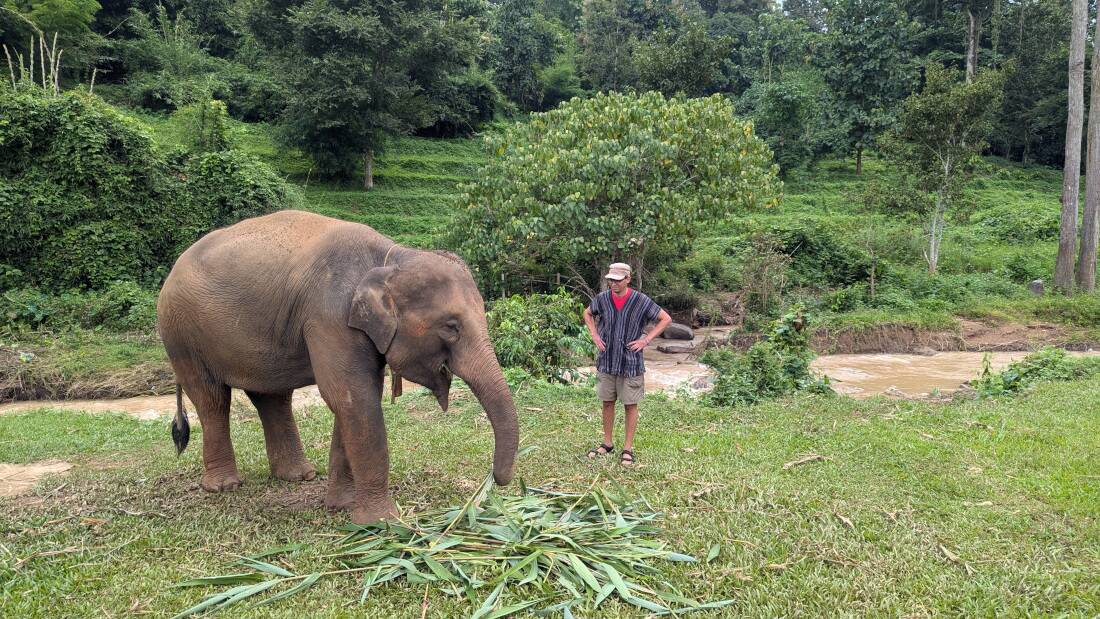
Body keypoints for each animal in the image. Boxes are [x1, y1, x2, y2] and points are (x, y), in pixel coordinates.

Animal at [158, 211, 519, 525]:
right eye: (451, 327)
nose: (494, 480)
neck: (390, 257)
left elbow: (353, 400)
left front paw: (343, 506)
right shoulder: (329, 317)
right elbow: (352, 398)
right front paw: (381, 522)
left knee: (272, 398)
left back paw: (298, 476)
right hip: (181, 335)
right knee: (212, 399)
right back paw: (224, 486)